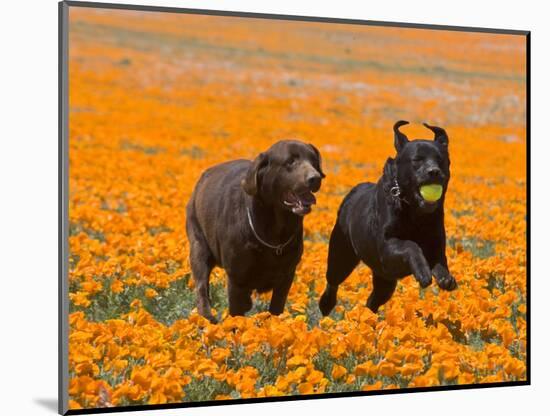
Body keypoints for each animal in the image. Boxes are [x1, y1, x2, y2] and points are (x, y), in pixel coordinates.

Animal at [188, 140, 326, 322]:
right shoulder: (236, 279)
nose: (315, 178)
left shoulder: (286, 277)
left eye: (314, 161)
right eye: (290, 162)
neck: (274, 232)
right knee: (201, 289)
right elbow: (236, 313)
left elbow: (276, 308)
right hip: (198, 246)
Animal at [320, 120, 458, 316]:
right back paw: (326, 304)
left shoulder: (435, 242)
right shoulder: (386, 247)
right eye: (417, 160)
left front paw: (446, 278)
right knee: (333, 280)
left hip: (385, 280)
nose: (434, 171)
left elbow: (439, 260)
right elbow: (411, 245)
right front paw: (423, 272)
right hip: (341, 255)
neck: (415, 212)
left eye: (441, 160)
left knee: (372, 302)